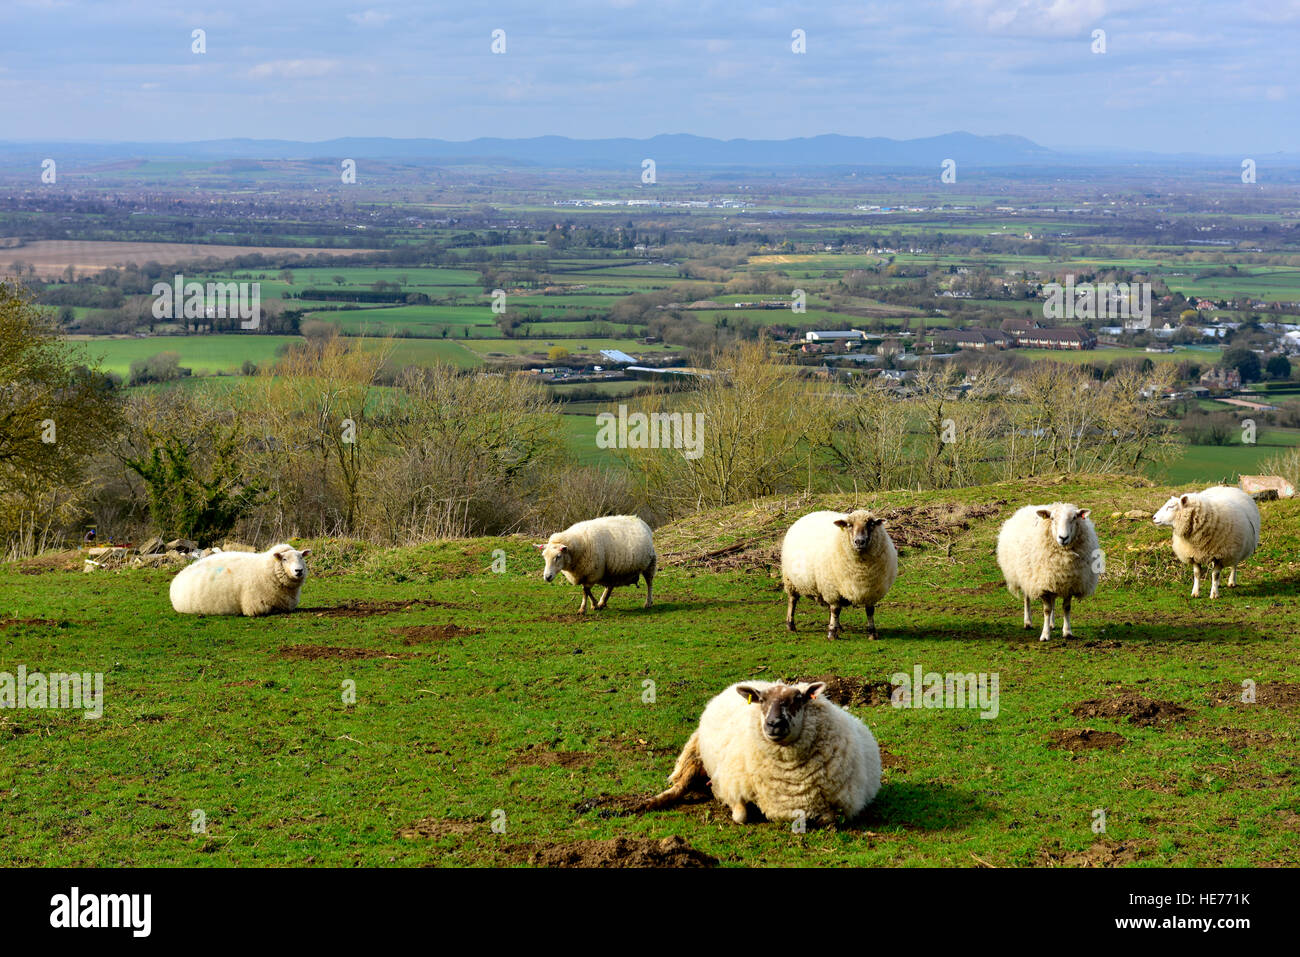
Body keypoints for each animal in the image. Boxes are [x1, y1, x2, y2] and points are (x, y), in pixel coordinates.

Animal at [169, 540, 310, 616]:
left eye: (301, 557)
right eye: (284, 559)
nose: (299, 571)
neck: (266, 569)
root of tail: (177, 578)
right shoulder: (256, 607)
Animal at [650, 676, 883, 826]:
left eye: (799, 699)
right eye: (761, 700)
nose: (774, 724)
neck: (790, 778)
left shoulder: (843, 805)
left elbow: (829, 820)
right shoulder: (733, 785)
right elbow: (740, 817)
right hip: (695, 756)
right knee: (680, 786)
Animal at [774, 509, 899, 642]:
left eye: (871, 524)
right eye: (849, 525)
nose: (859, 541)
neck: (861, 570)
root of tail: (809, 514)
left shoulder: (871, 592)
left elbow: (870, 611)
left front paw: (872, 633)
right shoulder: (833, 590)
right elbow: (835, 610)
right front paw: (832, 634)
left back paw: (838, 626)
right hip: (791, 581)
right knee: (793, 601)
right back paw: (791, 625)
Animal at [993, 501, 1097, 642]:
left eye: (1074, 518)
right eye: (1052, 518)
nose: (1063, 538)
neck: (1063, 558)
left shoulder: (1068, 583)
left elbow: (1066, 608)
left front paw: (1067, 632)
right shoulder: (1043, 584)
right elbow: (1046, 610)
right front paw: (1045, 635)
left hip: (1052, 579)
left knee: (1053, 601)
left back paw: (1052, 624)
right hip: (1027, 576)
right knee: (1027, 599)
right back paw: (1028, 622)